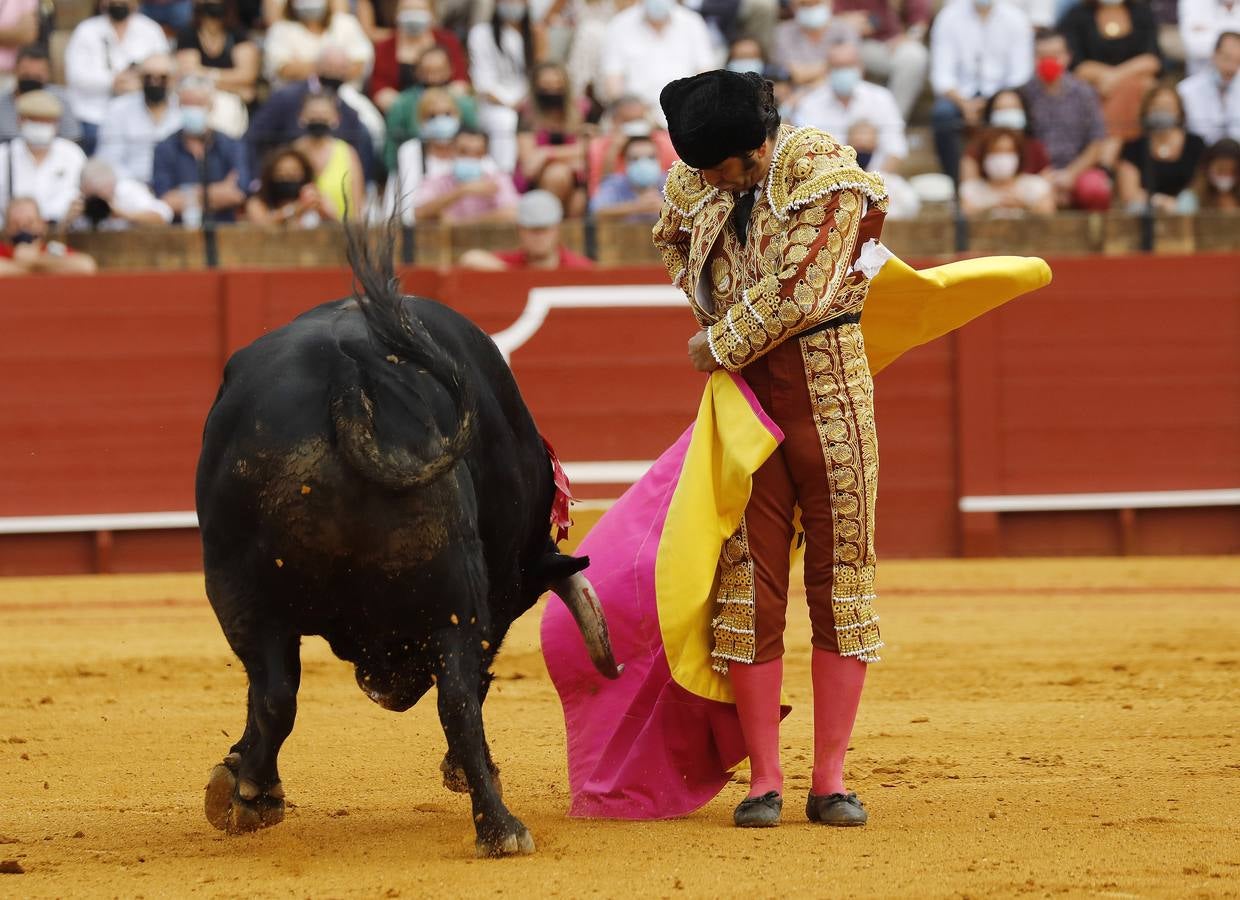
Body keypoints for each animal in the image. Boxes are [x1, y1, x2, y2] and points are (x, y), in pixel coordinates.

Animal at [194, 226, 620, 857]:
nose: (393, 687)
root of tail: (348, 383)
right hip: (450, 595)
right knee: (456, 696)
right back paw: (500, 828)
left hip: (241, 591)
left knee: (274, 689)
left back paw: (251, 793)